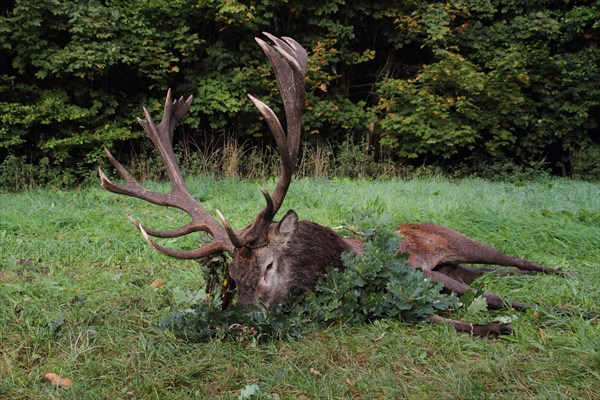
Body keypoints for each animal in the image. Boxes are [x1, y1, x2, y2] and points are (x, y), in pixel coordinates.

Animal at [101, 32, 568, 336]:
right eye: (231, 275)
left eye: (268, 266)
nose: (244, 320)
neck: (328, 263)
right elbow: (452, 313)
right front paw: (496, 326)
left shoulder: (418, 272)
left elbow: (498, 299)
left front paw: (557, 312)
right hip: (461, 261)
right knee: (490, 273)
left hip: (458, 237)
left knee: (518, 261)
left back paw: (563, 271)